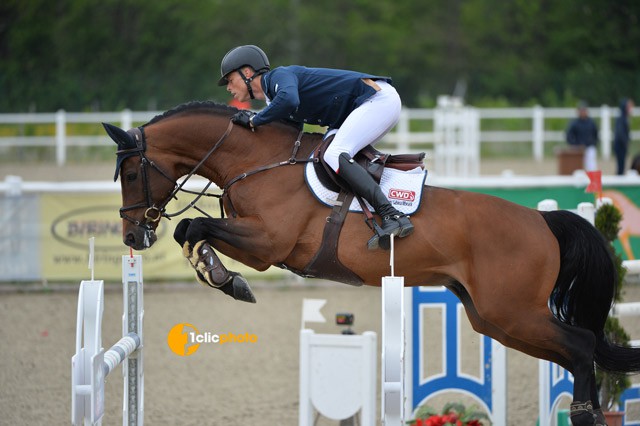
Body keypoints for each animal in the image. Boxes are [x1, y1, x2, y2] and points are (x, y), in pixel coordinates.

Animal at [106, 101, 640, 424]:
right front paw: (217, 274)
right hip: (495, 319)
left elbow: (192, 228)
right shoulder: (257, 244)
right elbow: (189, 230)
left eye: (131, 173)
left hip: (513, 312)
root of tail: (541, 220)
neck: (255, 160)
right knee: (577, 351)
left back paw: (587, 413)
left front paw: (224, 278)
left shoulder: (267, 243)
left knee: (581, 345)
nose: (133, 235)